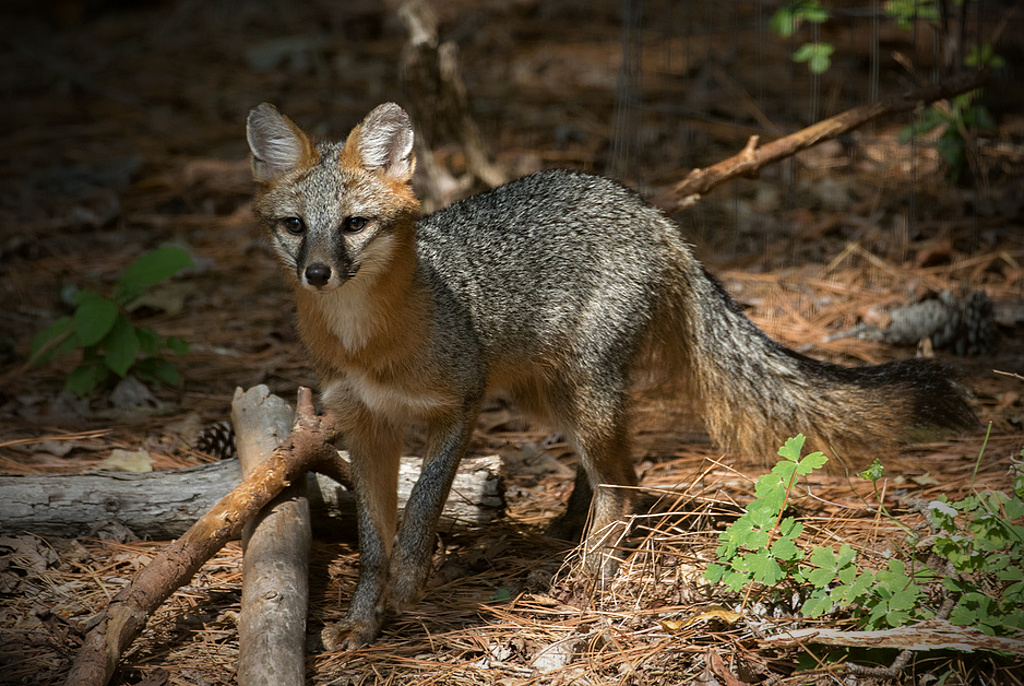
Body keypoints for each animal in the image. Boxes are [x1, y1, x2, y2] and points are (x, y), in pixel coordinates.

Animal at [247, 102, 974, 651]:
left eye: (353, 225)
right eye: (295, 228)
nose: (318, 272)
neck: (366, 339)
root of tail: (650, 211)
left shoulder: (462, 403)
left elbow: (423, 504)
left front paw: (408, 582)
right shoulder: (363, 423)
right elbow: (372, 537)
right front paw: (364, 618)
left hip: (582, 395)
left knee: (627, 484)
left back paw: (593, 567)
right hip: (552, 400)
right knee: (615, 473)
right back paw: (575, 527)